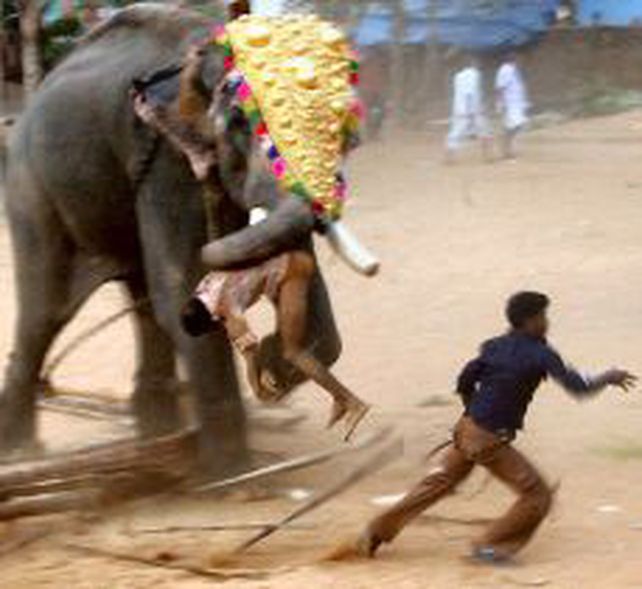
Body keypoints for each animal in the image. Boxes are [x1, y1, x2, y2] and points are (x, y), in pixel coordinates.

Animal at [0, 5, 377, 475]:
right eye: (239, 122)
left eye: (345, 132)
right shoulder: (170, 161)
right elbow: (183, 290)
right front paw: (236, 475)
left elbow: (292, 267)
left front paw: (276, 363)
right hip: (31, 187)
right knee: (45, 312)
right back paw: (23, 454)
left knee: (141, 299)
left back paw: (155, 433)